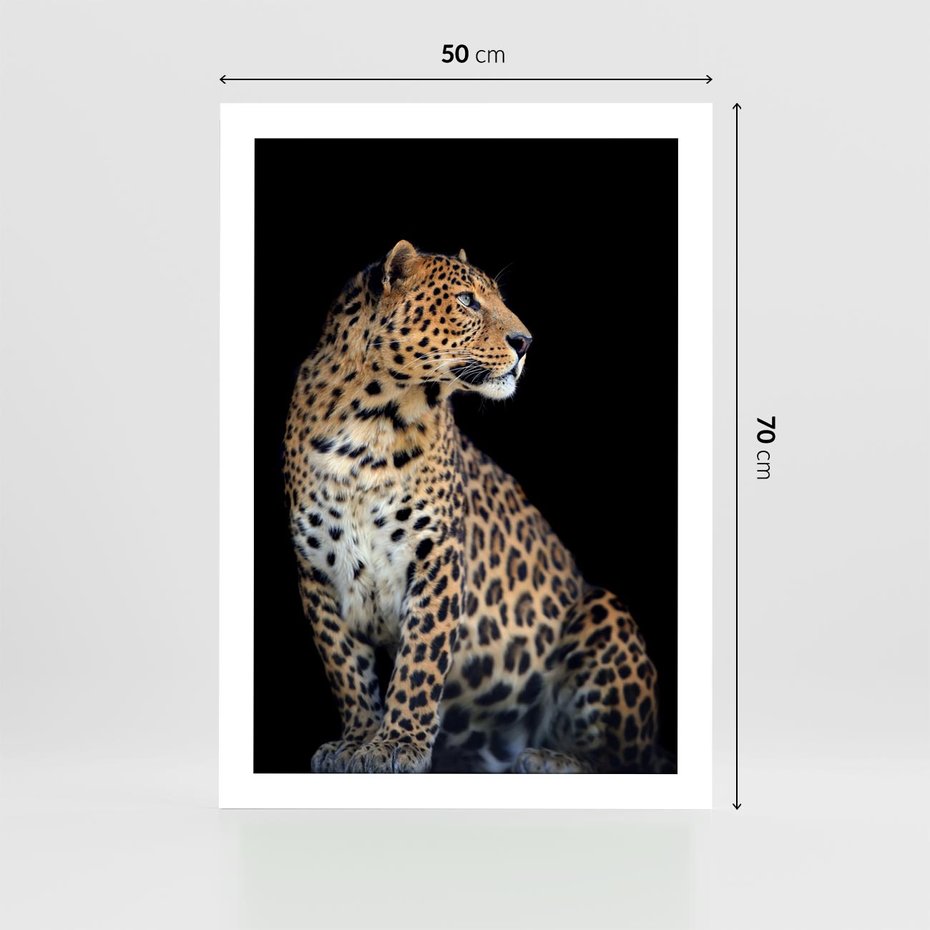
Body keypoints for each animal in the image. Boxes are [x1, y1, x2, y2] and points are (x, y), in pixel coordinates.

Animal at [283, 240, 669, 774]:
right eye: (467, 301)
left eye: (497, 299)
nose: (525, 342)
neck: (370, 423)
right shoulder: (317, 569)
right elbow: (346, 668)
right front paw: (357, 741)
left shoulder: (437, 555)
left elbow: (420, 660)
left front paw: (396, 745)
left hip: (603, 611)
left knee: (627, 759)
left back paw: (550, 759)